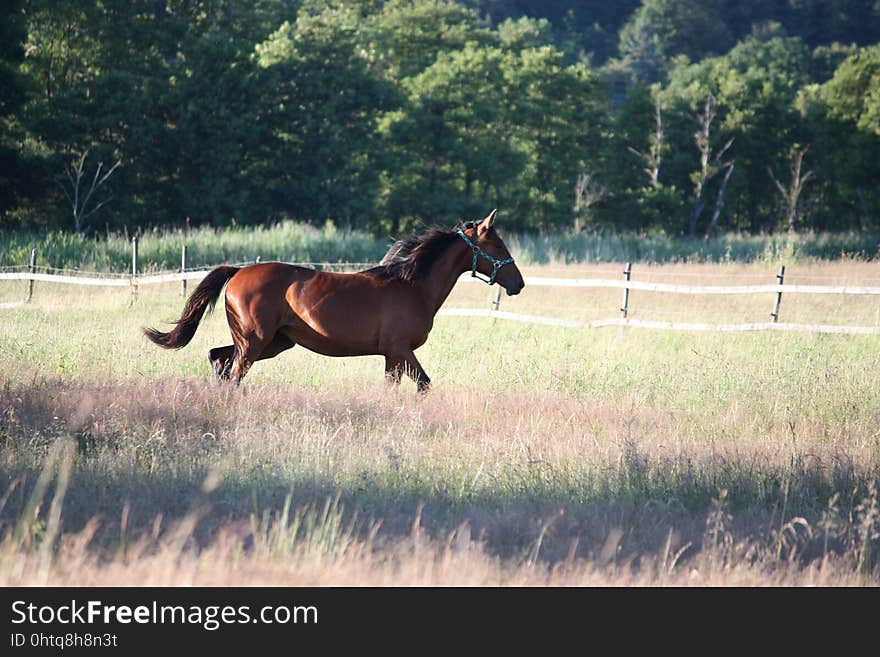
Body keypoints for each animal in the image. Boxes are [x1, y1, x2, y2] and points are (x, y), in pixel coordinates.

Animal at [146, 209, 524, 390]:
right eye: (497, 245)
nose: (518, 283)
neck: (413, 286)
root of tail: (238, 272)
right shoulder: (401, 350)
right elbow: (424, 385)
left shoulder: (391, 356)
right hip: (254, 341)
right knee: (234, 371)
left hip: (275, 342)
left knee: (219, 359)